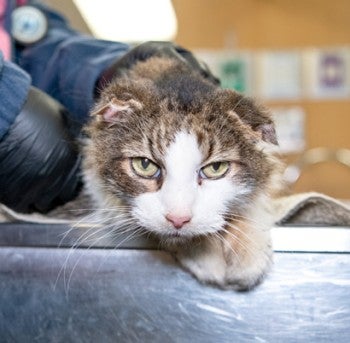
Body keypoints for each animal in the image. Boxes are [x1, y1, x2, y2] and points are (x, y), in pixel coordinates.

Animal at [82, 55, 284, 290]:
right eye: (144, 165)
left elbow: (254, 206)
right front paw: (206, 254)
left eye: (216, 168)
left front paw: (249, 253)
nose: (178, 220)